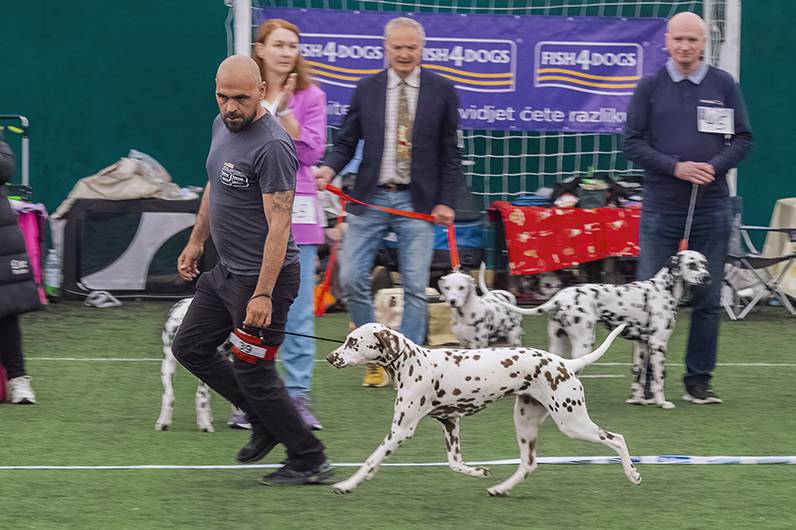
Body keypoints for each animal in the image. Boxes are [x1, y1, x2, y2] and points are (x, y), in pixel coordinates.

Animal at [324, 322, 640, 496]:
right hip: (525, 423)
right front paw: (478, 472)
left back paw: (633, 474)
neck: (413, 362)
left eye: (353, 342)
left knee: (617, 438)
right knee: (528, 464)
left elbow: (370, 461)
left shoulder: (401, 430)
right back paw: (500, 489)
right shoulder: (450, 424)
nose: (329, 357)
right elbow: (455, 463)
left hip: (572, 422)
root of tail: (566, 364)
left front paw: (347, 484)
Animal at [494, 249, 712, 408]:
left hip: (558, 343)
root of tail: (560, 297)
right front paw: (662, 402)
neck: (664, 289)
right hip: (584, 344)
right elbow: (659, 378)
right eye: (692, 265)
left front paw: (637, 400)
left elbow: (639, 377)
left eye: (704, 263)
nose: (708, 277)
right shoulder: (658, 344)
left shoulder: (641, 345)